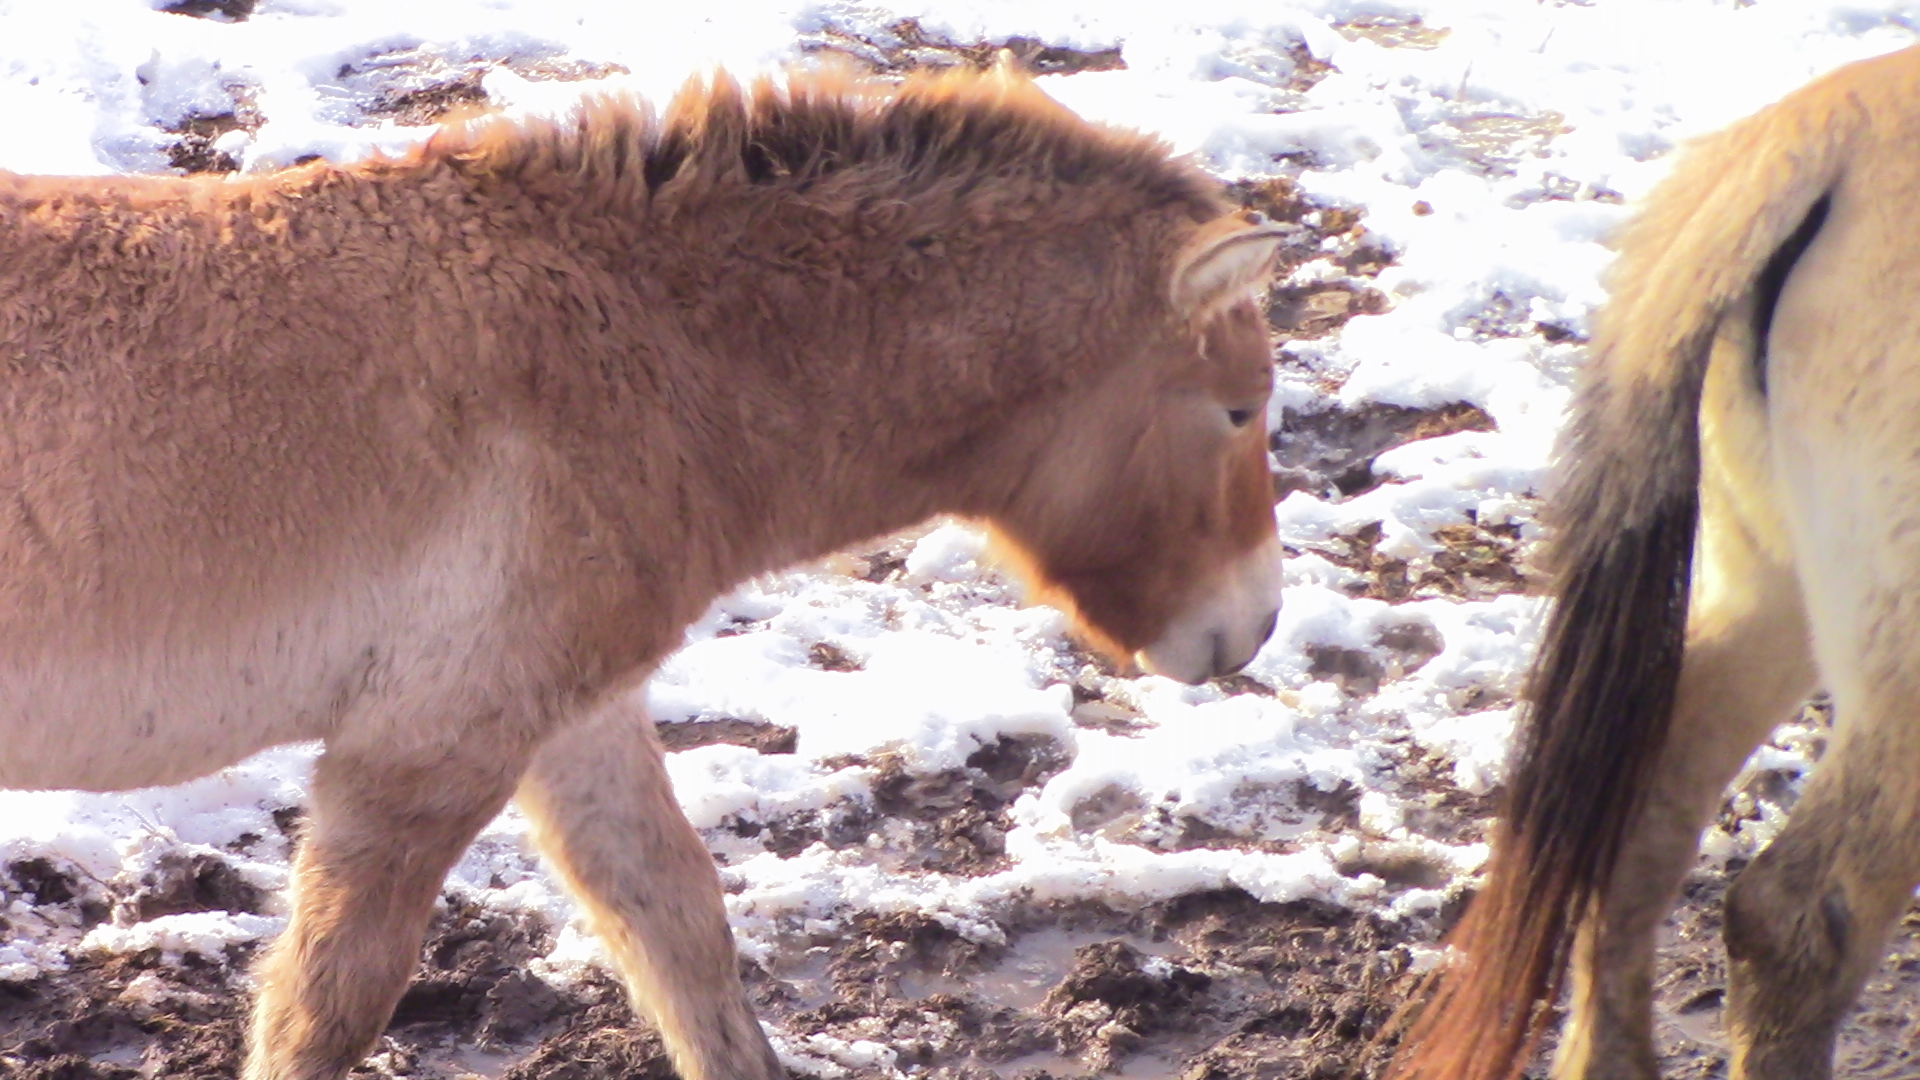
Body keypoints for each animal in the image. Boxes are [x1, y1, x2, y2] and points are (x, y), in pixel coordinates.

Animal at [0, 66, 1288, 1080]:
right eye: (1236, 408)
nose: (1258, 624)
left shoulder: (571, 718)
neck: (631, 349)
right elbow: (324, 1010)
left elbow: (679, 929)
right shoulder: (420, 754)